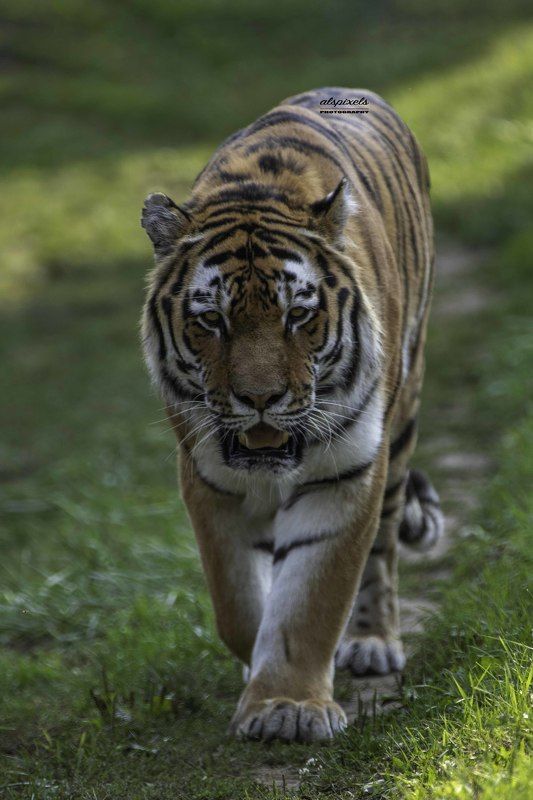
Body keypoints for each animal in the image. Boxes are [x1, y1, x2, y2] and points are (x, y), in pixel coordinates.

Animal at [140, 87, 444, 743]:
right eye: (212, 320)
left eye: (297, 316)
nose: (260, 399)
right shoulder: (207, 476)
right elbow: (236, 602)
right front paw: (259, 669)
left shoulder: (344, 471)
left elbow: (312, 597)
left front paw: (287, 707)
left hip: (403, 415)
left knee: (383, 546)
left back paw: (373, 642)